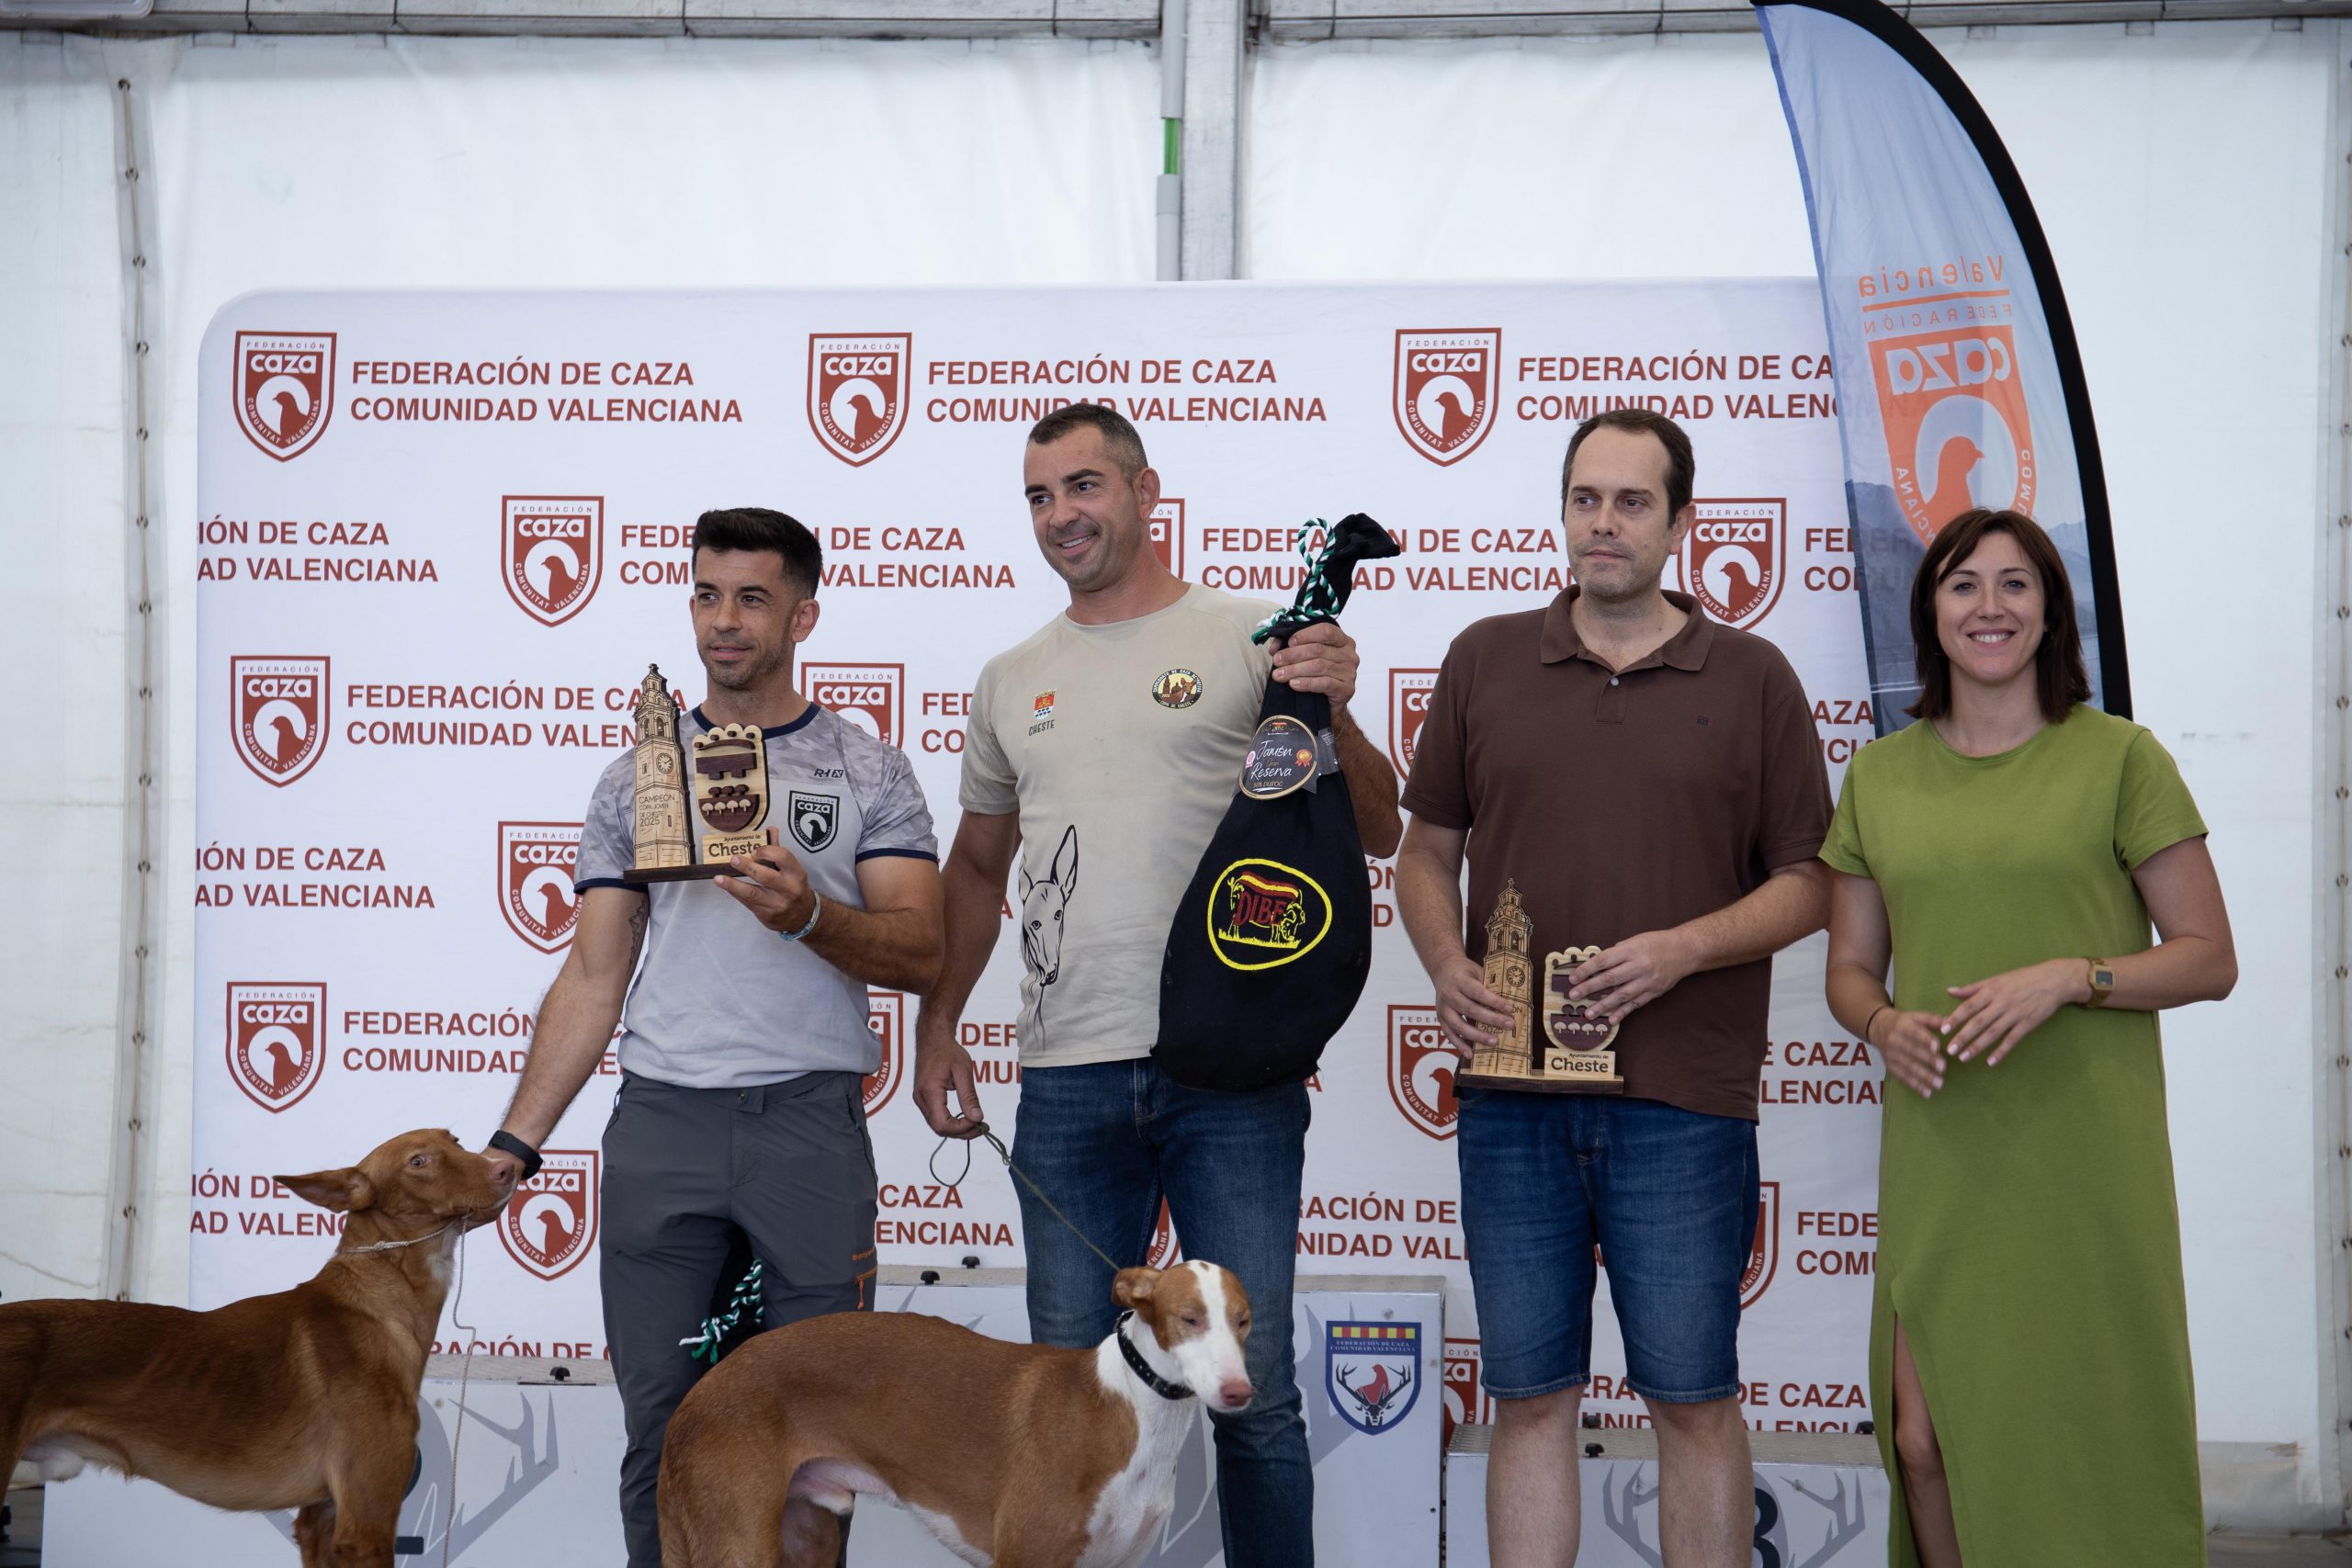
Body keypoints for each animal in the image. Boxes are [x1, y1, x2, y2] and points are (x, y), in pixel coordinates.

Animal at [1, 1127, 514, 1566]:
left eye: (456, 1141)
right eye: (418, 1161)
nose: (507, 1168)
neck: (376, 1308)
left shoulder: (320, 1519)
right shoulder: (366, 1525)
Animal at [658, 1260, 1254, 1568]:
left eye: (1244, 1320)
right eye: (1190, 1318)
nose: (1239, 1392)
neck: (1132, 1410)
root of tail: (698, 1393)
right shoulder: (1026, 1560)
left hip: (807, 1538)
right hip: (739, 1546)